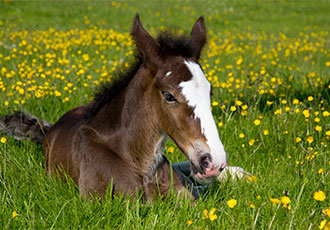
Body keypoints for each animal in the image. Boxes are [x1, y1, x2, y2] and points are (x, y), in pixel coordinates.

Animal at [1, 15, 229, 200]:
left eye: (209, 93)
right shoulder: (101, 202)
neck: (138, 161)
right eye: (169, 96)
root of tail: (50, 129)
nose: (212, 163)